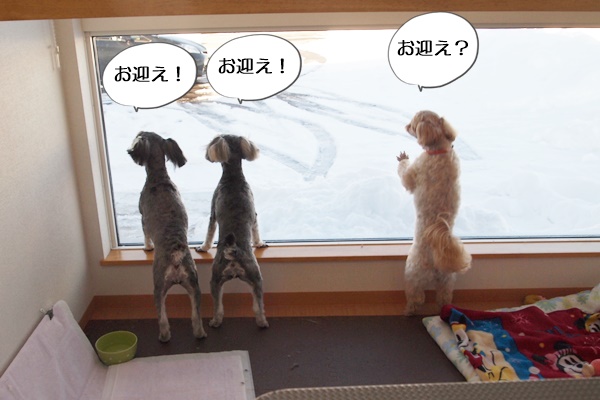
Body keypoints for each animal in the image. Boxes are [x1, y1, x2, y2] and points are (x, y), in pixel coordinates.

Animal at [128, 131, 207, 342]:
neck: (159, 178)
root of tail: (176, 257)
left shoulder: (143, 218)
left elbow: (145, 235)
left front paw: (147, 247)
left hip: (158, 287)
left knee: (162, 317)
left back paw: (163, 336)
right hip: (194, 286)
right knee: (196, 317)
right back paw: (200, 333)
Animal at [196, 134, 269, 329]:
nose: (207, 155)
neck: (233, 178)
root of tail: (234, 253)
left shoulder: (213, 214)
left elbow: (209, 234)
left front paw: (203, 247)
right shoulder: (255, 216)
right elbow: (256, 230)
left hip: (216, 280)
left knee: (219, 306)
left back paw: (215, 321)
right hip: (254, 279)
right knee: (258, 305)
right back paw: (261, 322)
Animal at [397, 111, 472, 316]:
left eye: (413, 125)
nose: (406, 126)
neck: (440, 151)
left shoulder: (415, 172)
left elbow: (405, 175)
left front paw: (402, 158)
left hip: (412, 273)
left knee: (416, 298)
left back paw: (409, 311)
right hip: (447, 280)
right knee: (444, 297)